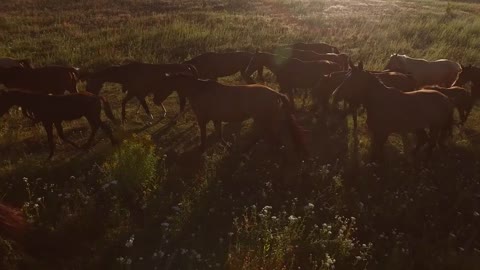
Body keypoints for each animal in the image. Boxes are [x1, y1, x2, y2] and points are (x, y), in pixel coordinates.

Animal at [153, 73, 308, 156]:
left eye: (162, 85)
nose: (155, 101)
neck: (199, 90)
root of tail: (275, 93)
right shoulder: (216, 119)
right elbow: (219, 135)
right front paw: (227, 148)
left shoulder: (202, 119)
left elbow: (204, 136)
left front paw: (201, 149)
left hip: (263, 120)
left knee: (269, 137)